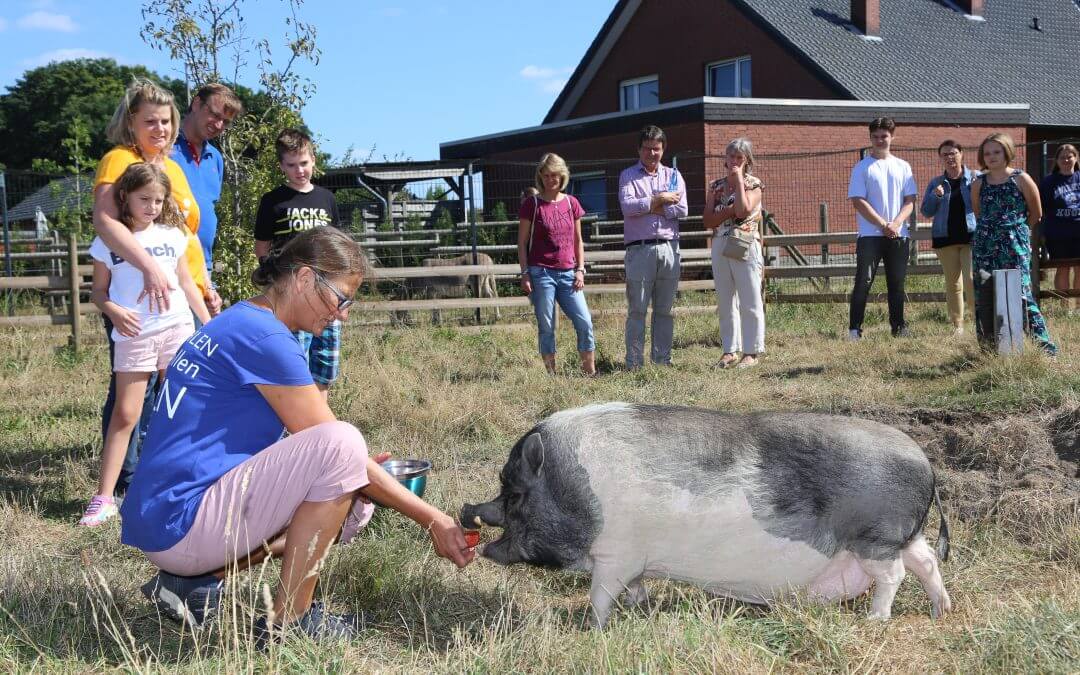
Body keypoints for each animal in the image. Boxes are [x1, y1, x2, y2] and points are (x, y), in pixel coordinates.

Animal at [460, 399, 950, 626]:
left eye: (514, 493)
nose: (467, 510)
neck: (572, 490)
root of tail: (924, 462)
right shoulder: (635, 561)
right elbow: (634, 589)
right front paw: (640, 610)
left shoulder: (616, 555)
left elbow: (601, 594)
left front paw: (593, 627)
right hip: (903, 535)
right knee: (926, 561)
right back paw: (940, 611)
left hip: (876, 537)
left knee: (895, 574)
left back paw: (876, 619)